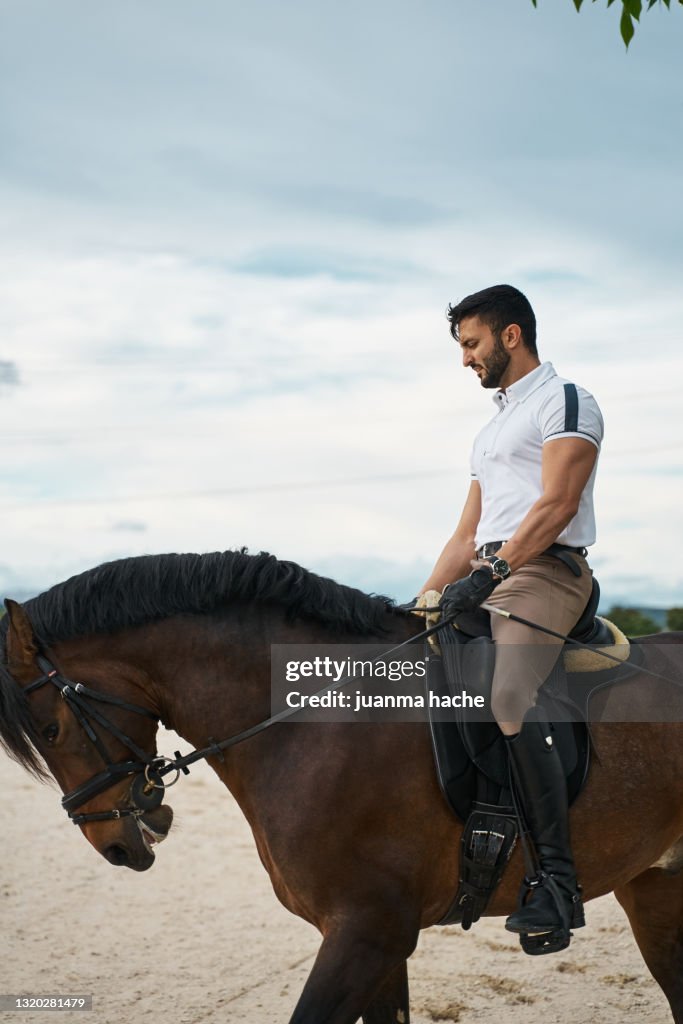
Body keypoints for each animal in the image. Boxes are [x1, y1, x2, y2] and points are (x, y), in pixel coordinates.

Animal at [1, 552, 683, 1024]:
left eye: (51, 728)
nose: (116, 846)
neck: (317, 718)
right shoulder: (381, 943)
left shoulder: (368, 932)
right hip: (654, 887)